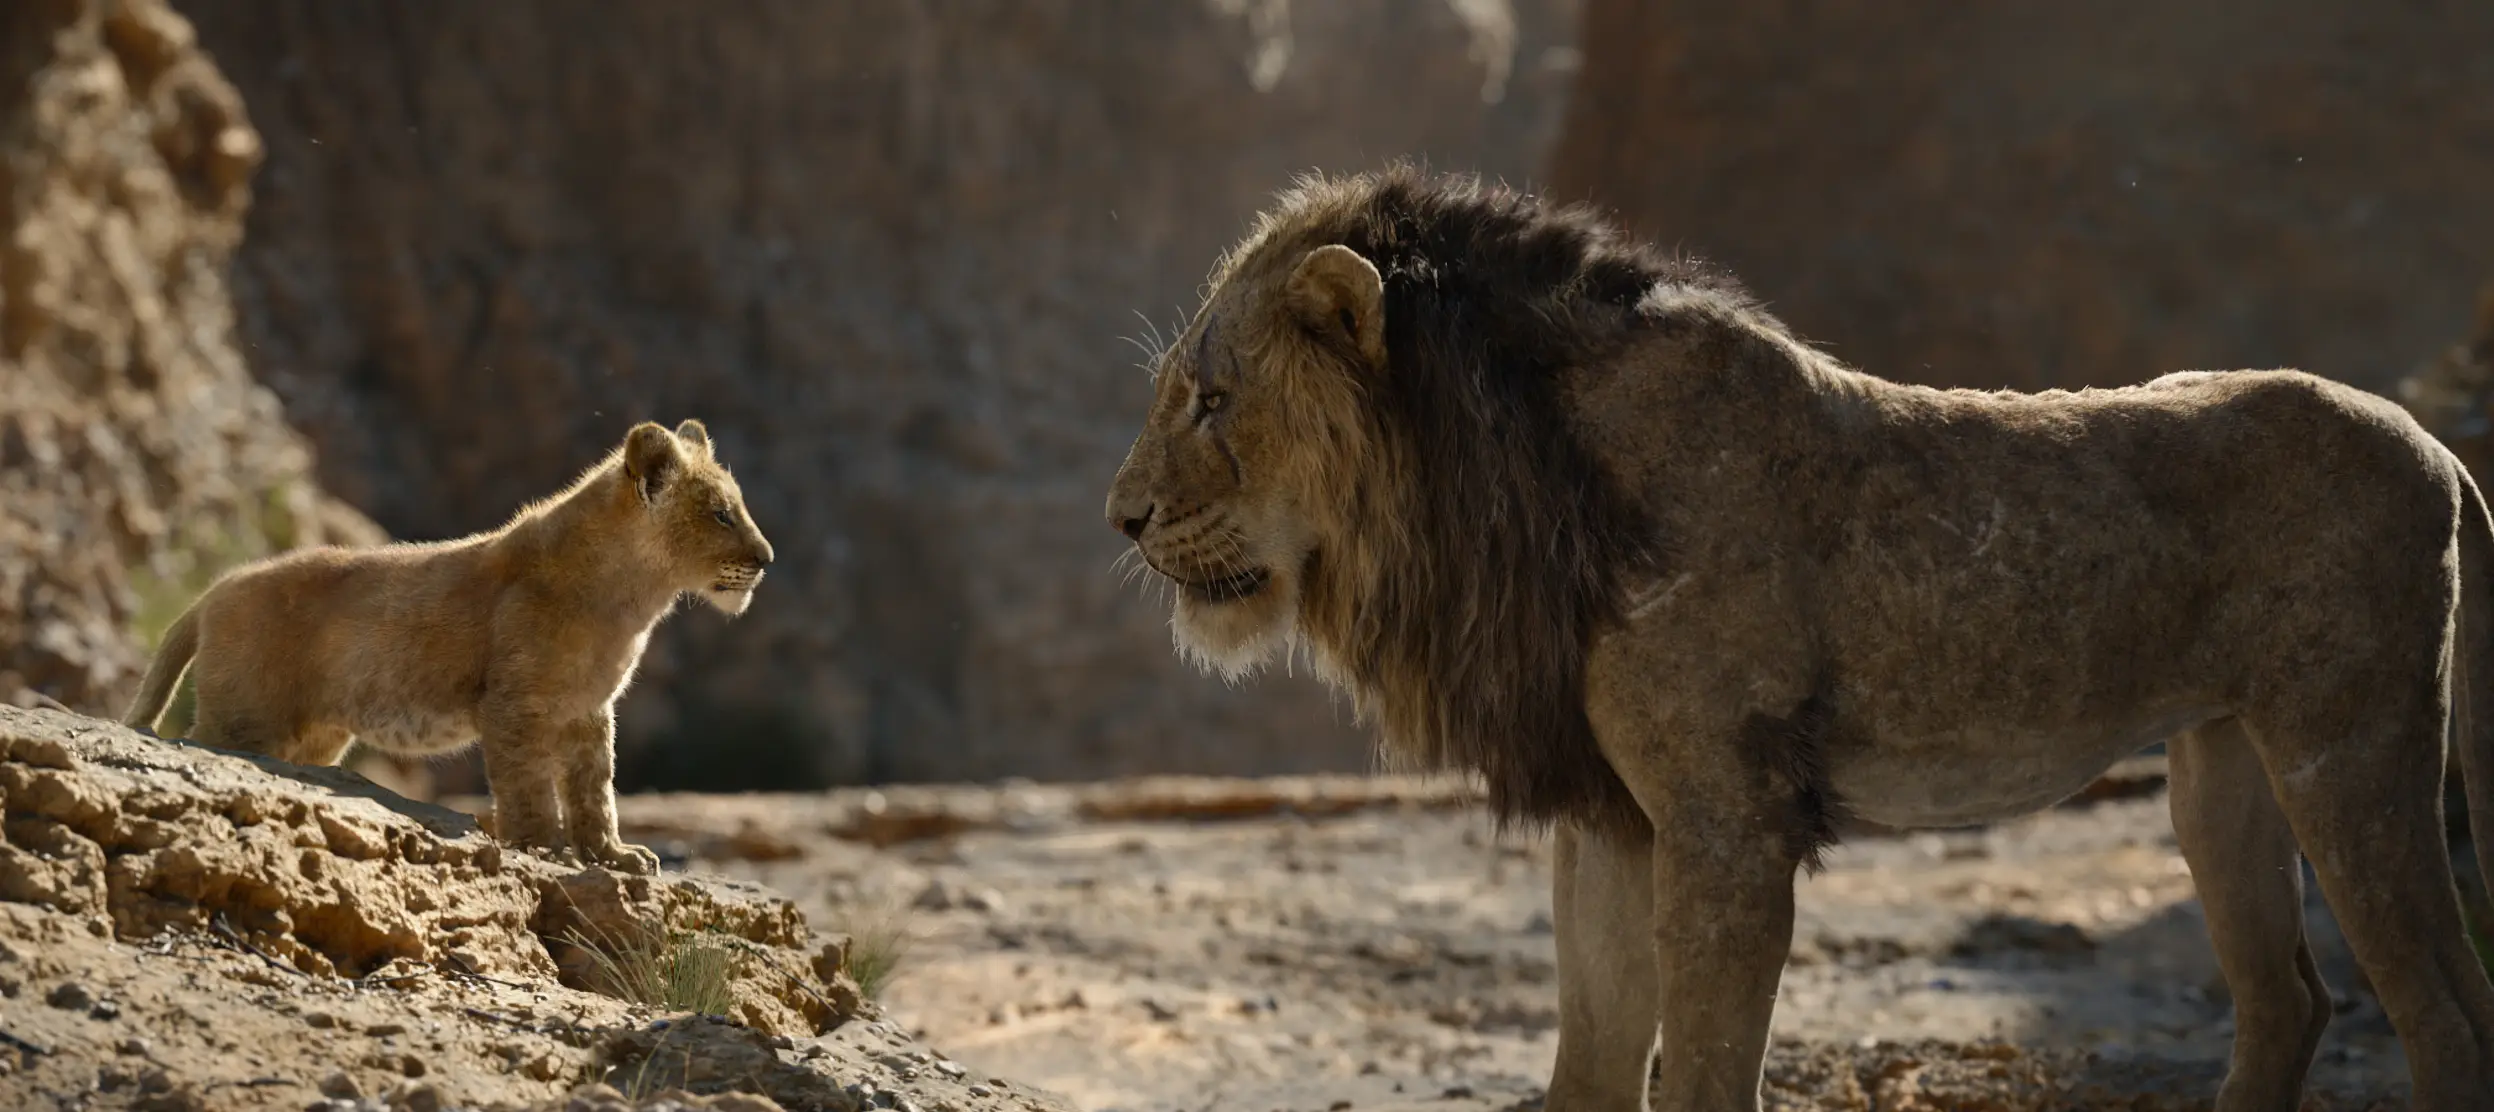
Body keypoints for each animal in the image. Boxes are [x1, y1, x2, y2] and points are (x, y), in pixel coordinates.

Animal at [125, 419, 774, 875]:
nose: (767, 560)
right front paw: (544, 847)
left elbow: (596, 788)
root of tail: (214, 590)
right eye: (721, 514)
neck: (631, 597)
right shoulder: (514, 703)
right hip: (243, 720)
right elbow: (528, 785)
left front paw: (613, 856)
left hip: (313, 737)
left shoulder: (589, 710)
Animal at [1104, 166, 2494, 1112]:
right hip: (2222, 767)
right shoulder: (1612, 814)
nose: (1120, 517)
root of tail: (2435, 443)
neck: (1504, 480)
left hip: (2349, 743)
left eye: (1211, 400)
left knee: (2441, 1006)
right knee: (2290, 998)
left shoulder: (1727, 815)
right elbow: (1592, 1062)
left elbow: (1708, 1066)